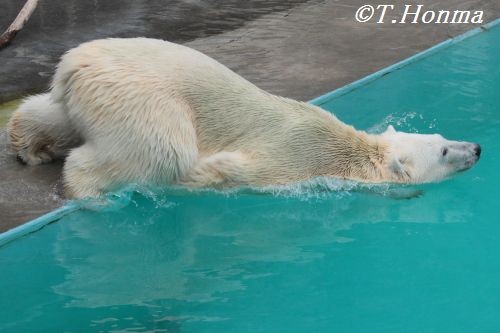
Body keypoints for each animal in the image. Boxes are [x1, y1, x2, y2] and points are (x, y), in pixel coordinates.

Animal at [6, 37, 480, 197]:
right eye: (443, 151)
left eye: (444, 136)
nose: (476, 147)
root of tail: (75, 63)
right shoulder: (291, 164)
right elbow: (228, 169)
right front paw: (200, 178)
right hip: (143, 97)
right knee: (163, 149)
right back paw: (87, 191)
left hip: (92, 87)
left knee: (52, 111)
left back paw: (29, 145)